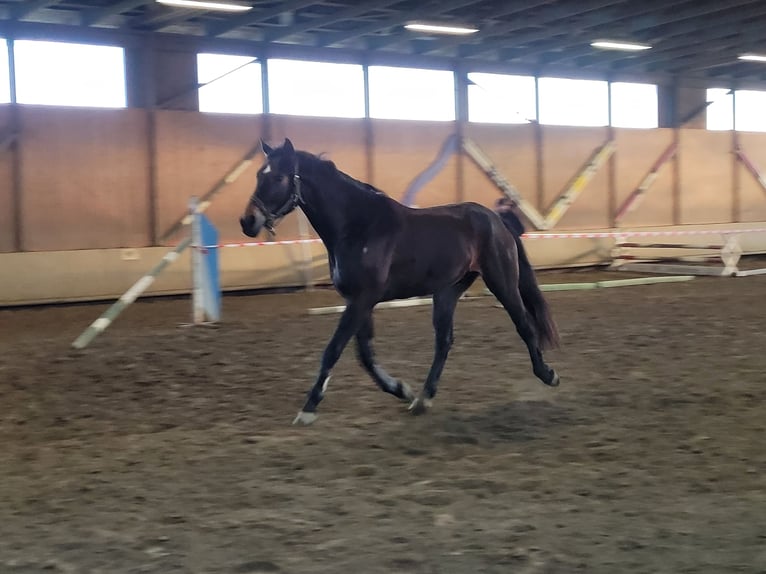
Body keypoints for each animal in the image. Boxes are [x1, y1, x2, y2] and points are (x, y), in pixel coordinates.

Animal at [240, 138, 560, 425]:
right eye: (258, 175)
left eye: (279, 177)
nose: (248, 222)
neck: (357, 226)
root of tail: (497, 220)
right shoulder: (359, 301)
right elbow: (365, 355)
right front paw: (401, 390)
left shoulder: (362, 300)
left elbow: (333, 350)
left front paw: (308, 408)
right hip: (447, 292)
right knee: (444, 341)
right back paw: (423, 399)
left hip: (502, 282)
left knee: (524, 325)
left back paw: (548, 375)